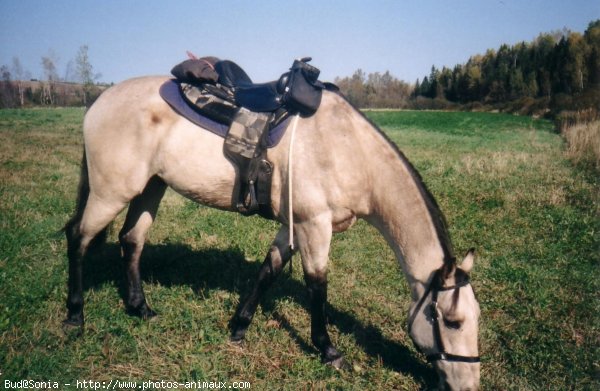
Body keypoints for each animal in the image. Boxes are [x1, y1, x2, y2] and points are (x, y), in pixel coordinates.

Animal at [63, 75, 480, 390]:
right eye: (452, 321)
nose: (469, 385)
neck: (348, 149)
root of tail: (100, 100)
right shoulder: (314, 225)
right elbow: (317, 285)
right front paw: (329, 351)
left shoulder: (292, 226)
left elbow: (268, 271)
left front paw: (238, 327)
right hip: (111, 192)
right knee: (78, 239)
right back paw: (75, 317)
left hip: (150, 188)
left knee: (131, 241)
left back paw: (140, 308)